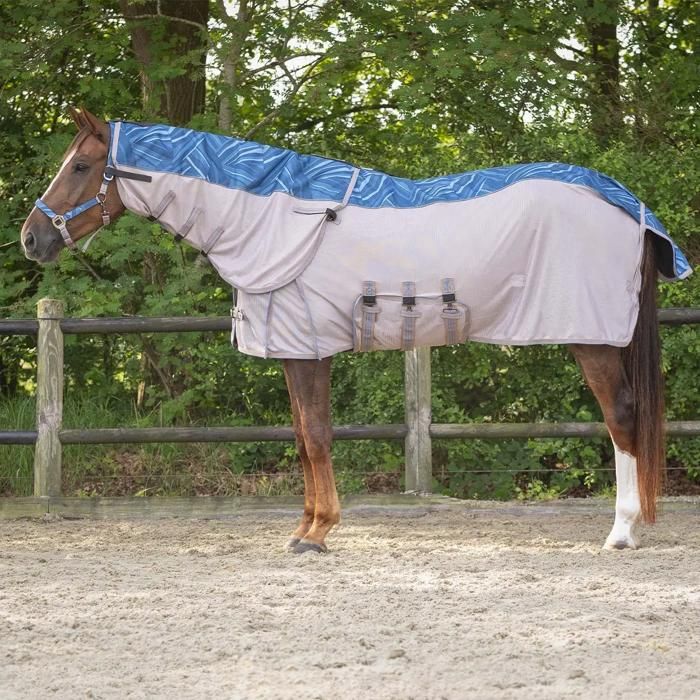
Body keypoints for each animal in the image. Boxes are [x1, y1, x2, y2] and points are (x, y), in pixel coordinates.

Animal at [21, 108, 691, 553]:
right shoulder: (295, 350)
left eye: (82, 165)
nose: (32, 238)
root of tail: (629, 207)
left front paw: (317, 534)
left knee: (622, 417)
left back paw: (621, 532)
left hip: (593, 337)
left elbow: (316, 437)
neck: (273, 217)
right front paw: (306, 526)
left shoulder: (307, 349)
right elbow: (301, 437)